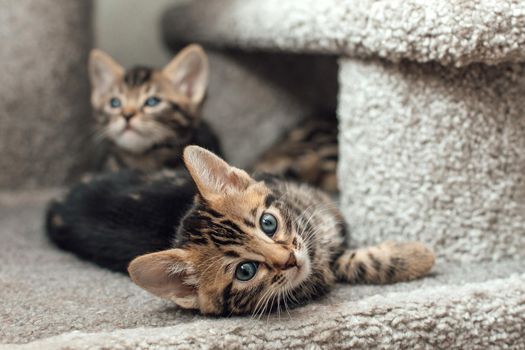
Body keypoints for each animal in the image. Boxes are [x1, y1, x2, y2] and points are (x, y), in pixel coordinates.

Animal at [46, 146, 434, 316]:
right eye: (245, 271)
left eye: (268, 223)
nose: (289, 259)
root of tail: (56, 207)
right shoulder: (321, 273)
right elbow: (352, 262)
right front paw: (418, 256)